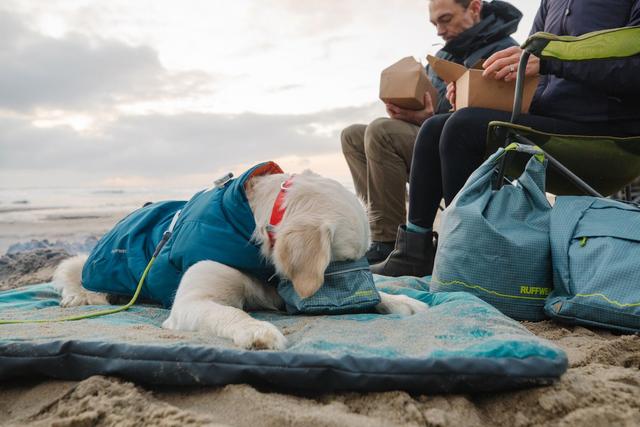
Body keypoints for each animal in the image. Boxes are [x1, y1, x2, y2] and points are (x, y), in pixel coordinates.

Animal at [53, 171, 424, 352]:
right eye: (343, 259)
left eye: (366, 256)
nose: (364, 299)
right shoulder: (192, 301)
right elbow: (230, 313)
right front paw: (258, 330)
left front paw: (398, 299)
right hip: (90, 266)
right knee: (74, 276)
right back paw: (79, 297)